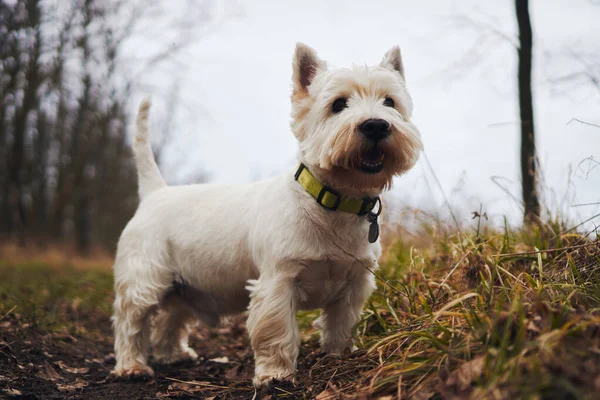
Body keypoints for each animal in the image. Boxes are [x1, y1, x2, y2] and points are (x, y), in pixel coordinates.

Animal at [111, 43, 422, 388]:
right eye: (338, 104)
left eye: (389, 102)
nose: (376, 125)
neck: (334, 202)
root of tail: (155, 192)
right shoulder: (277, 281)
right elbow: (277, 331)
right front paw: (275, 374)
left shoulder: (355, 281)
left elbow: (342, 322)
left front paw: (339, 354)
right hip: (145, 276)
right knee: (131, 321)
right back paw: (132, 366)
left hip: (185, 284)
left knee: (171, 316)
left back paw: (174, 355)